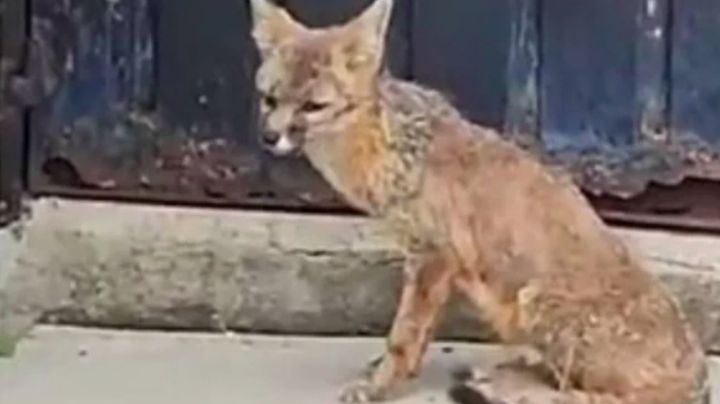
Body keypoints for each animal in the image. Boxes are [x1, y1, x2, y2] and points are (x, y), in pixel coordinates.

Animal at [248, 0, 709, 403]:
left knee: (584, 393)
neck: (388, 146)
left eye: (312, 106)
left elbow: (404, 335)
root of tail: (697, 378)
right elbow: (414, 337)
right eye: (269, 99)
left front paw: (380, 386)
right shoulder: (431, 262)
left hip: (534, 302)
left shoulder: (434, 256)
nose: (269, 137)